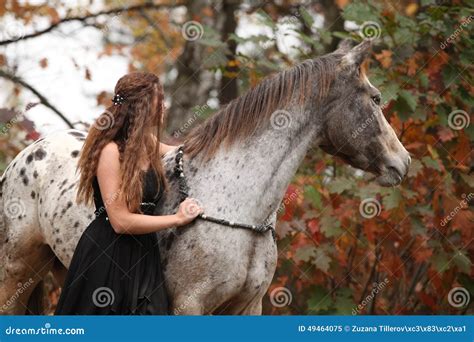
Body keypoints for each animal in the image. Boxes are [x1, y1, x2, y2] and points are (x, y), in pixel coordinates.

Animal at [0, 38, 410, 314]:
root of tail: (22, 158)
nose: (403, 162)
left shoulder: (248, 306)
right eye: (375, 97)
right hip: (15, 275)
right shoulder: (190, 305)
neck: (236, 207)